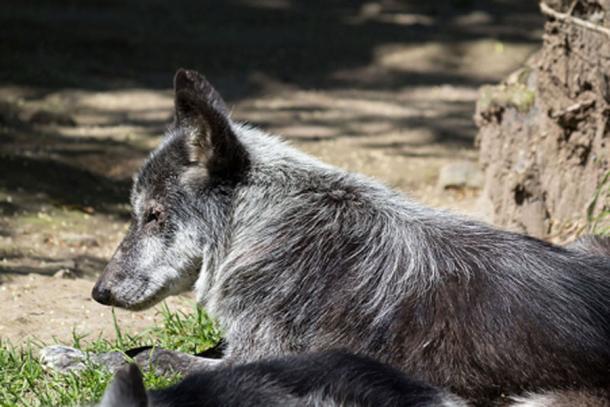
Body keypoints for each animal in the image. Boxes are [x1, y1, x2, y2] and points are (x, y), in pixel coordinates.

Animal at [81, 70, 608, 404]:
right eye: (139, 213)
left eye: (153, 215)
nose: (99, 292)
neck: (264, 224)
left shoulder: (255, 359)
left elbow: (142, 355)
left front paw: (80, 357)